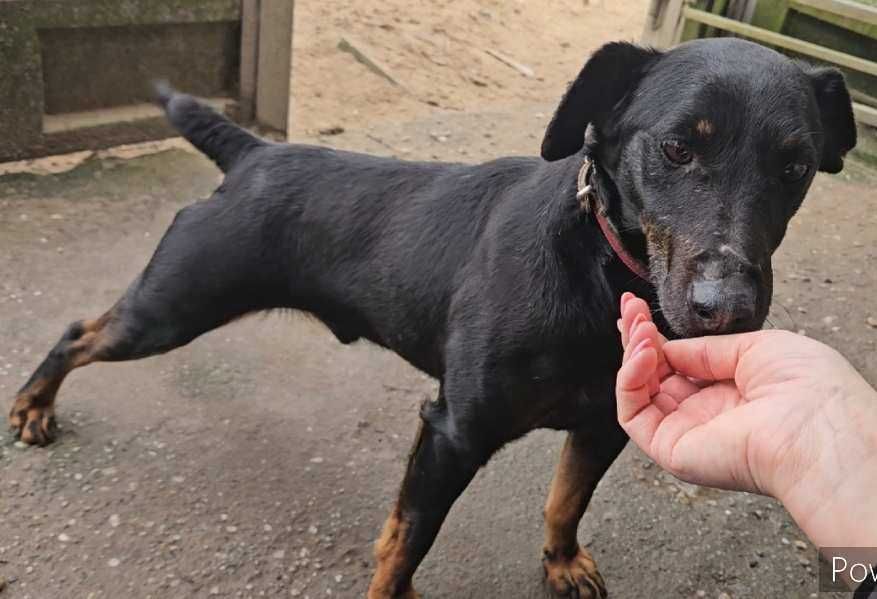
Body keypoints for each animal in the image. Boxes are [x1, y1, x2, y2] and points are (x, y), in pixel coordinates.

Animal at [10, 39, 852, 596]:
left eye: (794, 167)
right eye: (677, 147)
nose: (727, 310)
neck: (594, 265)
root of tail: (251, 153)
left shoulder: (602, 425)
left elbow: (564, 499)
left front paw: (560, 561)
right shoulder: (451, 432)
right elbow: (404, 544)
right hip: (169, 307)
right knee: (78, 334)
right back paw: (32, 405)